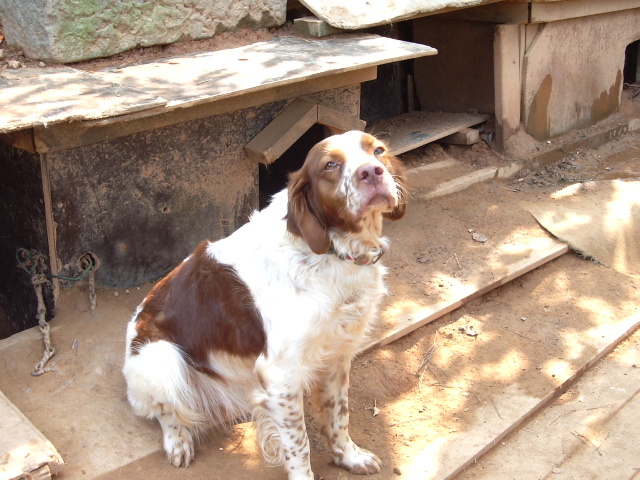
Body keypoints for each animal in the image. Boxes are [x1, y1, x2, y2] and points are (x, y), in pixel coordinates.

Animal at [123, 130, 407, 479]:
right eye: (330, 165)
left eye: (377, 150)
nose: (371, 172)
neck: (329, 252)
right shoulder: (281, 373)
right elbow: (299, 444)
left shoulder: (337, 355)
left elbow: (339, 415)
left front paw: (349, 457)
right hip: (160, 357)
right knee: (167, 411)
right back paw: (178, 442)